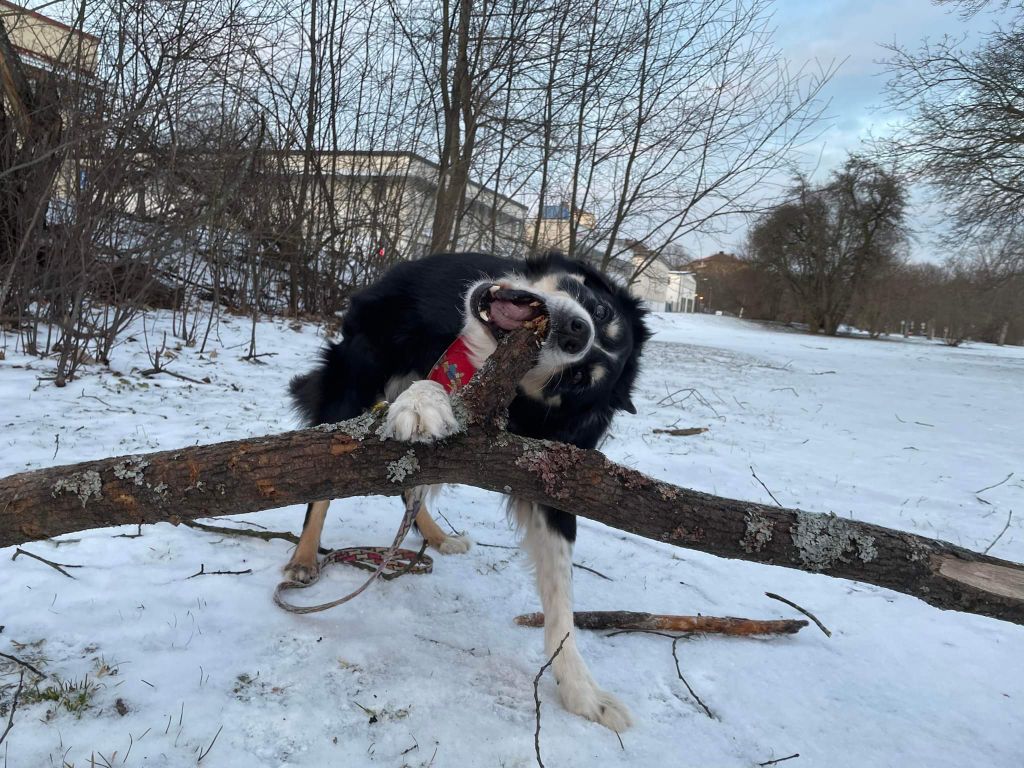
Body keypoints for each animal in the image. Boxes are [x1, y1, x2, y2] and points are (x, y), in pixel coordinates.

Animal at [286, 252, 647, 733]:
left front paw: (581, 690)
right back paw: (305, 557)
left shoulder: (552, 475)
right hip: (352, 384)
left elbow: (561, 594)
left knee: (409, 490)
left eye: (572, 382)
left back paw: (437, 536)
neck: (469, 344)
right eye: (602, 311)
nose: (576, 333)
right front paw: (423, 401)